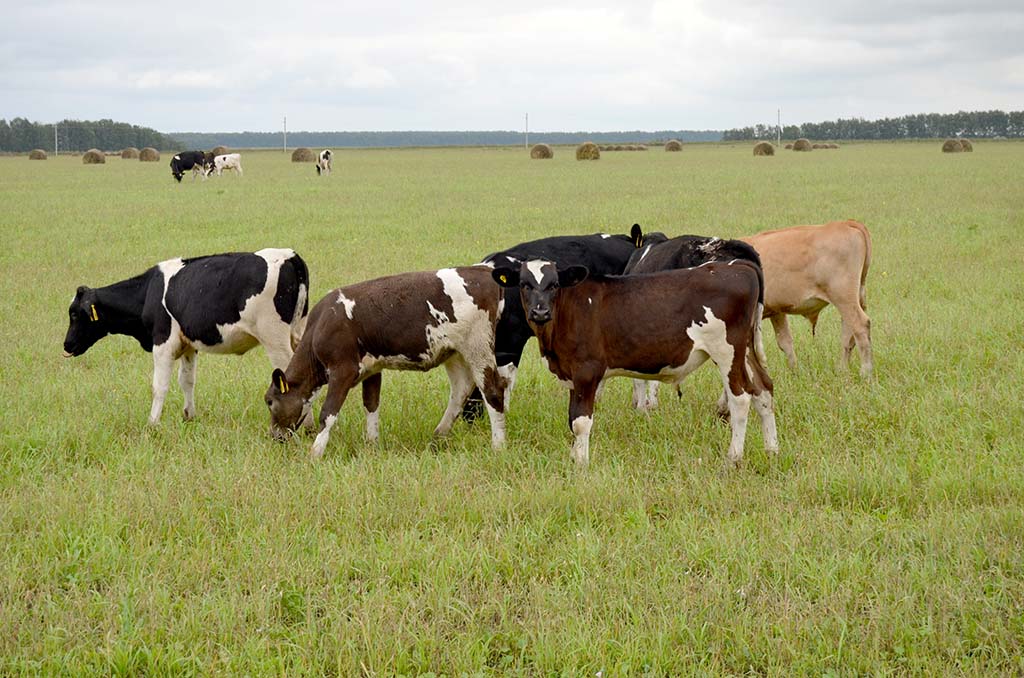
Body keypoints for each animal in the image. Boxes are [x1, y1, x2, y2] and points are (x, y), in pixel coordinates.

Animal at [64, 249, 307, 426]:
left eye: (74, 314)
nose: (66, 345)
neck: (148, 292)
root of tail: (289, 255)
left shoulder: (162, 343)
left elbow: (159, 385)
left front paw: (152, 423)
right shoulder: (188, 346)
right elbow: (187, 380)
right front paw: (189, 415)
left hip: (275, 339)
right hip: (299, 333)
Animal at [262, 268, 505, 458]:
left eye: (270, 402)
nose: (275, 436)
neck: (321, 325)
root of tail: (481, 271)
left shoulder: (343, 370)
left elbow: (328, 413)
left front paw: (315, 453)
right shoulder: (372, 370)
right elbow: (371, 405)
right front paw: (372, 445)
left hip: (478, 346)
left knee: (492, 391)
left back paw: (498, 445)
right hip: (455, 353)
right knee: (460, 391)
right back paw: (438, 437)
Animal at [741, 220, 876, 376]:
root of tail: (846, 223)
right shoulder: (777, 311)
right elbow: (785, 342)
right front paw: (794, 372)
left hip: (843, 297)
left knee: (860, 326)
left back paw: (865, 372)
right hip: (855, 297)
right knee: (848, 333)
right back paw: (842, 370)